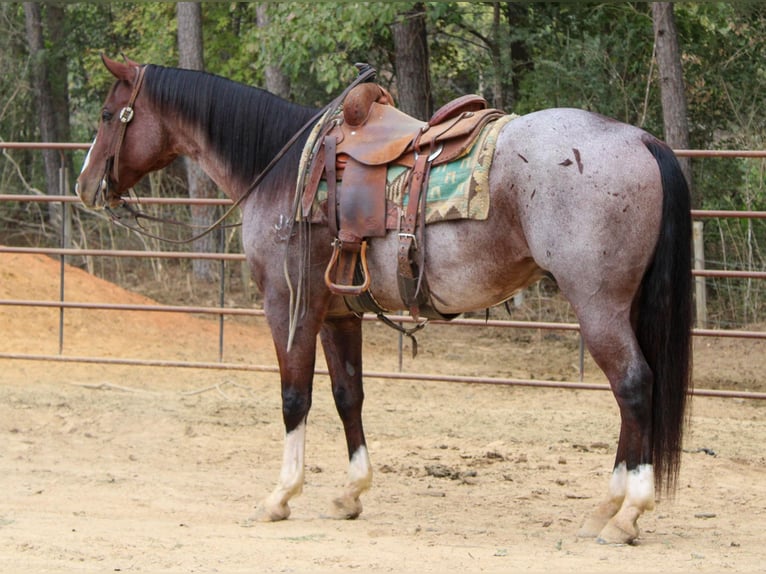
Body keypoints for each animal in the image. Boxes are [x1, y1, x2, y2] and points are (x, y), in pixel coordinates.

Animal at [76, 56, 696, 548]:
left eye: (108, 115)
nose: (85, 187)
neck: (281, 171)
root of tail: (641, 141)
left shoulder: (289, 304)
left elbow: (294, 398)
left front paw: (281, 496)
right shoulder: (337, 313)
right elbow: (348, 395)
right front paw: (350, 492)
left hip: (599, 307)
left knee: (634, 386)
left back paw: (626, 514)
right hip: (623, 307)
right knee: (634, 392)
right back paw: (605, 510)